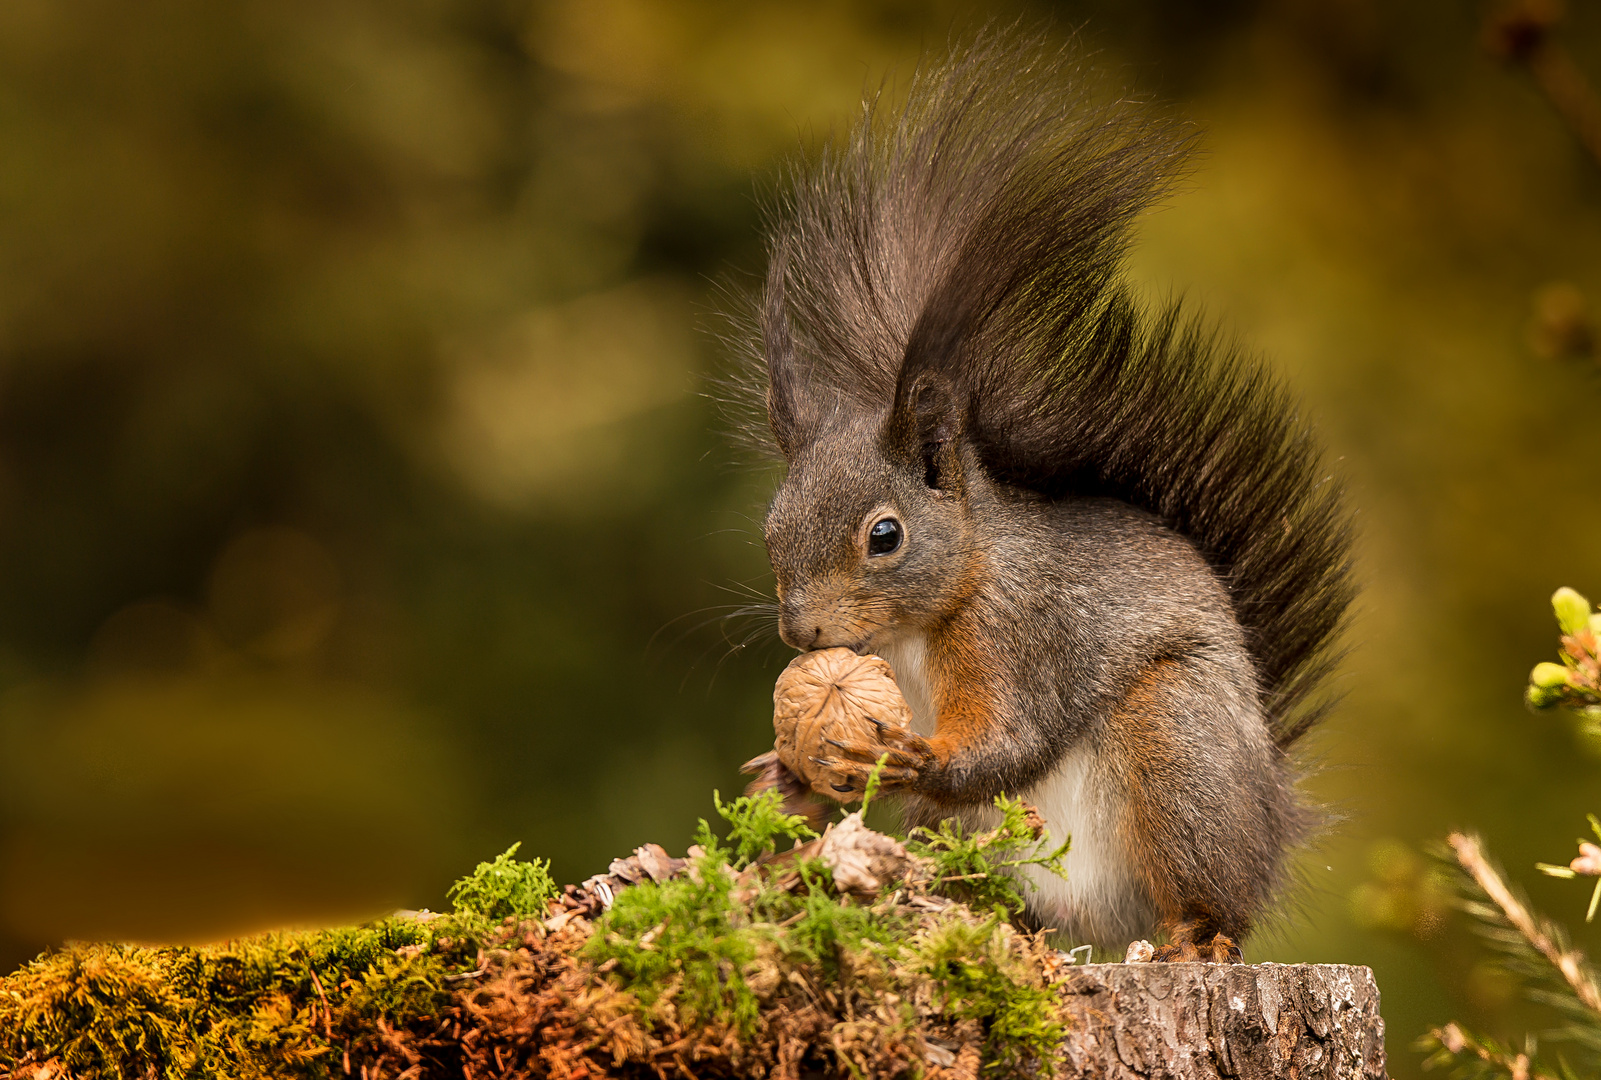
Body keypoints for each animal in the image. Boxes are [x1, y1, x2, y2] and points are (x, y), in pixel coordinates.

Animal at [726, 33, 1351, 966]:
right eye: (771, 530)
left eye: (885, 535)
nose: (800, 634)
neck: (921, 622)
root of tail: (1272, 819)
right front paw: (783, 773)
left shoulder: (1023, 632)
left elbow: (1013, 737)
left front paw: (916, 759)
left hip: (1179, 744)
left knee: (1208, 892)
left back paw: (1195, 939)